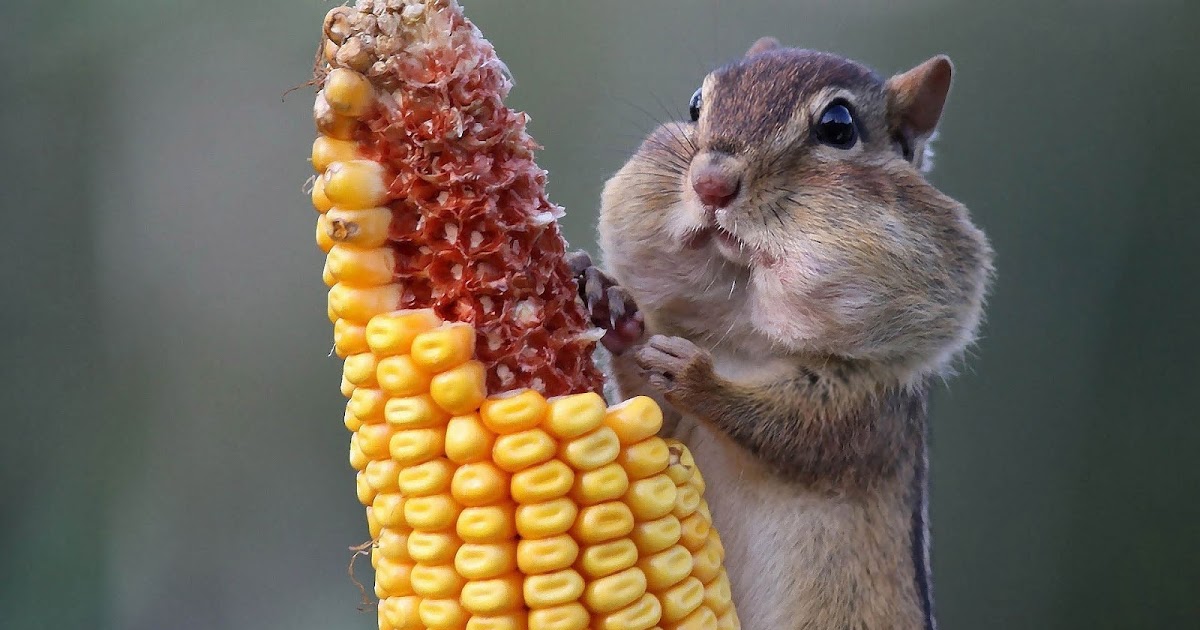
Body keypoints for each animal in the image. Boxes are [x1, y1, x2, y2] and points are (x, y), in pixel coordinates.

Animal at [568, 37, 993, 629]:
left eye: (838, 126)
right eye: (696, 104)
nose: (710, 182)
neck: (745, 341)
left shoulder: (868, 408)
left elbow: (794, 432)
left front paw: (697, 378)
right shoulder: (673, 428)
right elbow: (654, 415)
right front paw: (610, 302)